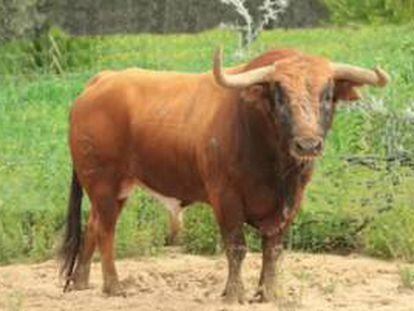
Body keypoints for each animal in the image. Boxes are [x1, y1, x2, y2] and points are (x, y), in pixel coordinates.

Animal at [59, 47, 388, 304]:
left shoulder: (290, 203)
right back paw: (113, 286)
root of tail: (102, 80)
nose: (308, 144)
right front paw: (234, 294)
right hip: (103, 182)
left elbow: (273, 250)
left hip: (117, 188)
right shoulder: (226, 198)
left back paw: (81, 283)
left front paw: (269, 294)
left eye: (328, 94)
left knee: (93, 225)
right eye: (279, 94)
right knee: (106, 230)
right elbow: (237, 247)